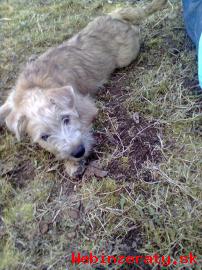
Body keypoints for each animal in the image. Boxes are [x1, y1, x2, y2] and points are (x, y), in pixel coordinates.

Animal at [0, 0, 167, 176]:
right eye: (44, 137)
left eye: (66, 119)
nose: (79, 151)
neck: (32, 86)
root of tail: (112, 16)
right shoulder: (11, 101)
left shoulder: (86, 106)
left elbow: (83, 124)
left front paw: (72, 164)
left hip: (126, 55)